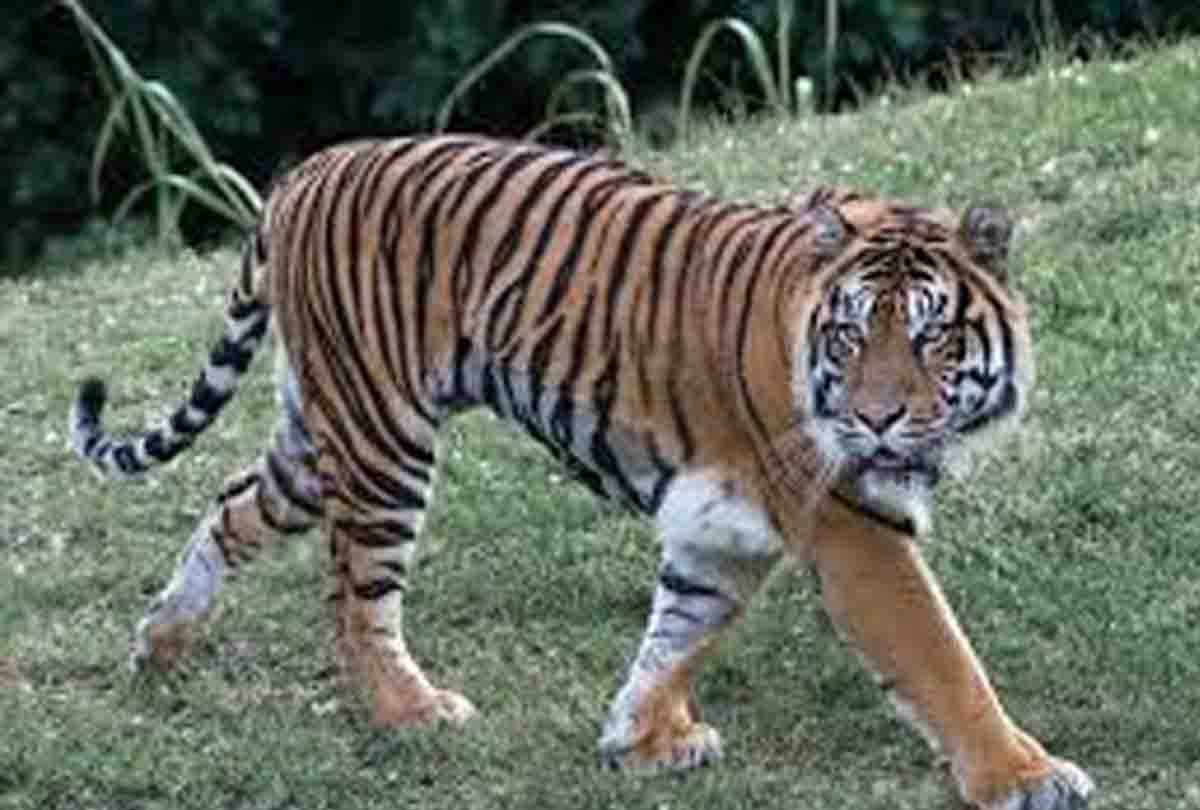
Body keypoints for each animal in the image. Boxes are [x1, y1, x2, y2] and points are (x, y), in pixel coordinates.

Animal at [70, 134, 1093, 809]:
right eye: (851, 335)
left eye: (930, 336)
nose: (877, 417)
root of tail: (302, 173)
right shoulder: (855, 530)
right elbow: (941, 656)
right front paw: (1025, 776)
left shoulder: (719, 529)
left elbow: (681, 631)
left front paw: (642, 736)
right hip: (382, 439)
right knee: (354, 598)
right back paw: (412, 712)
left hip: (320, 437)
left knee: (231, 506)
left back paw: (161, 642)